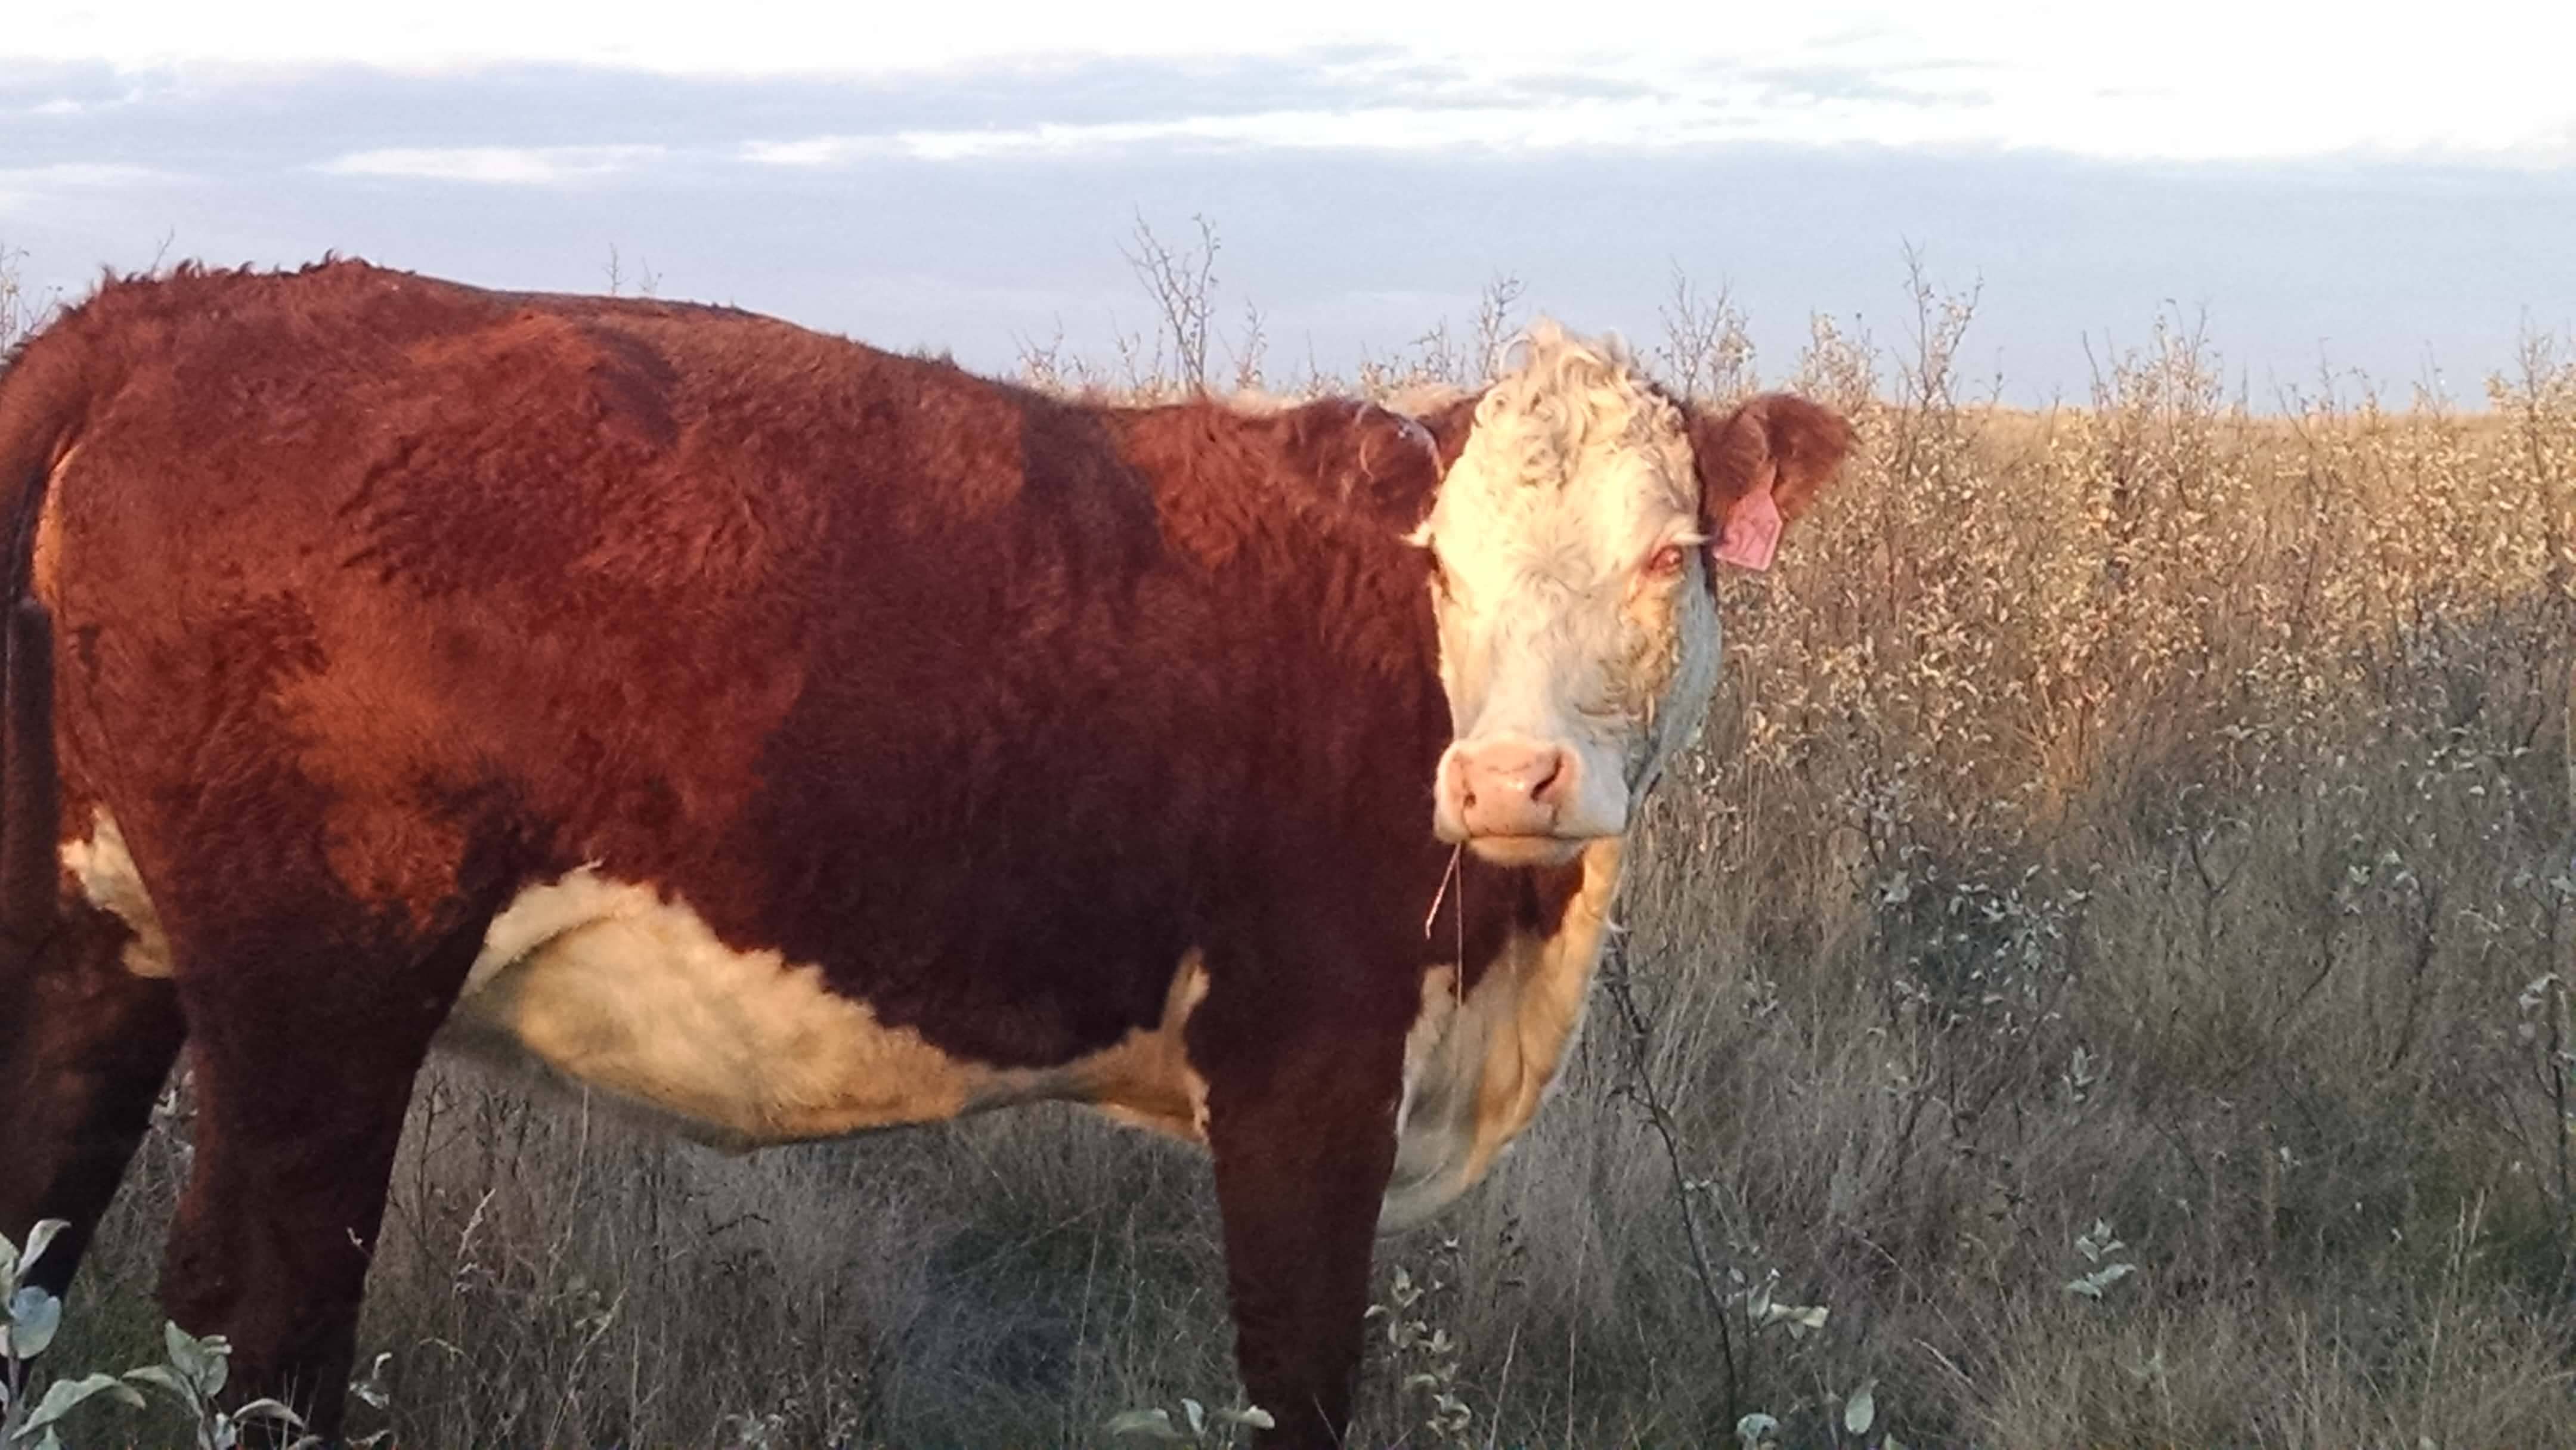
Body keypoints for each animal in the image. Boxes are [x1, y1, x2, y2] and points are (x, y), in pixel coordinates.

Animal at [0, 260, 1849, 1446]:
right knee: (259, 1322)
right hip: (323, 981)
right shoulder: (1305, 1060)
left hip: (98, 945)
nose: (1509, 775)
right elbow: (1298, 1373)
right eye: (1440, 561)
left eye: (1670, 552)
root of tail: (174, 311)